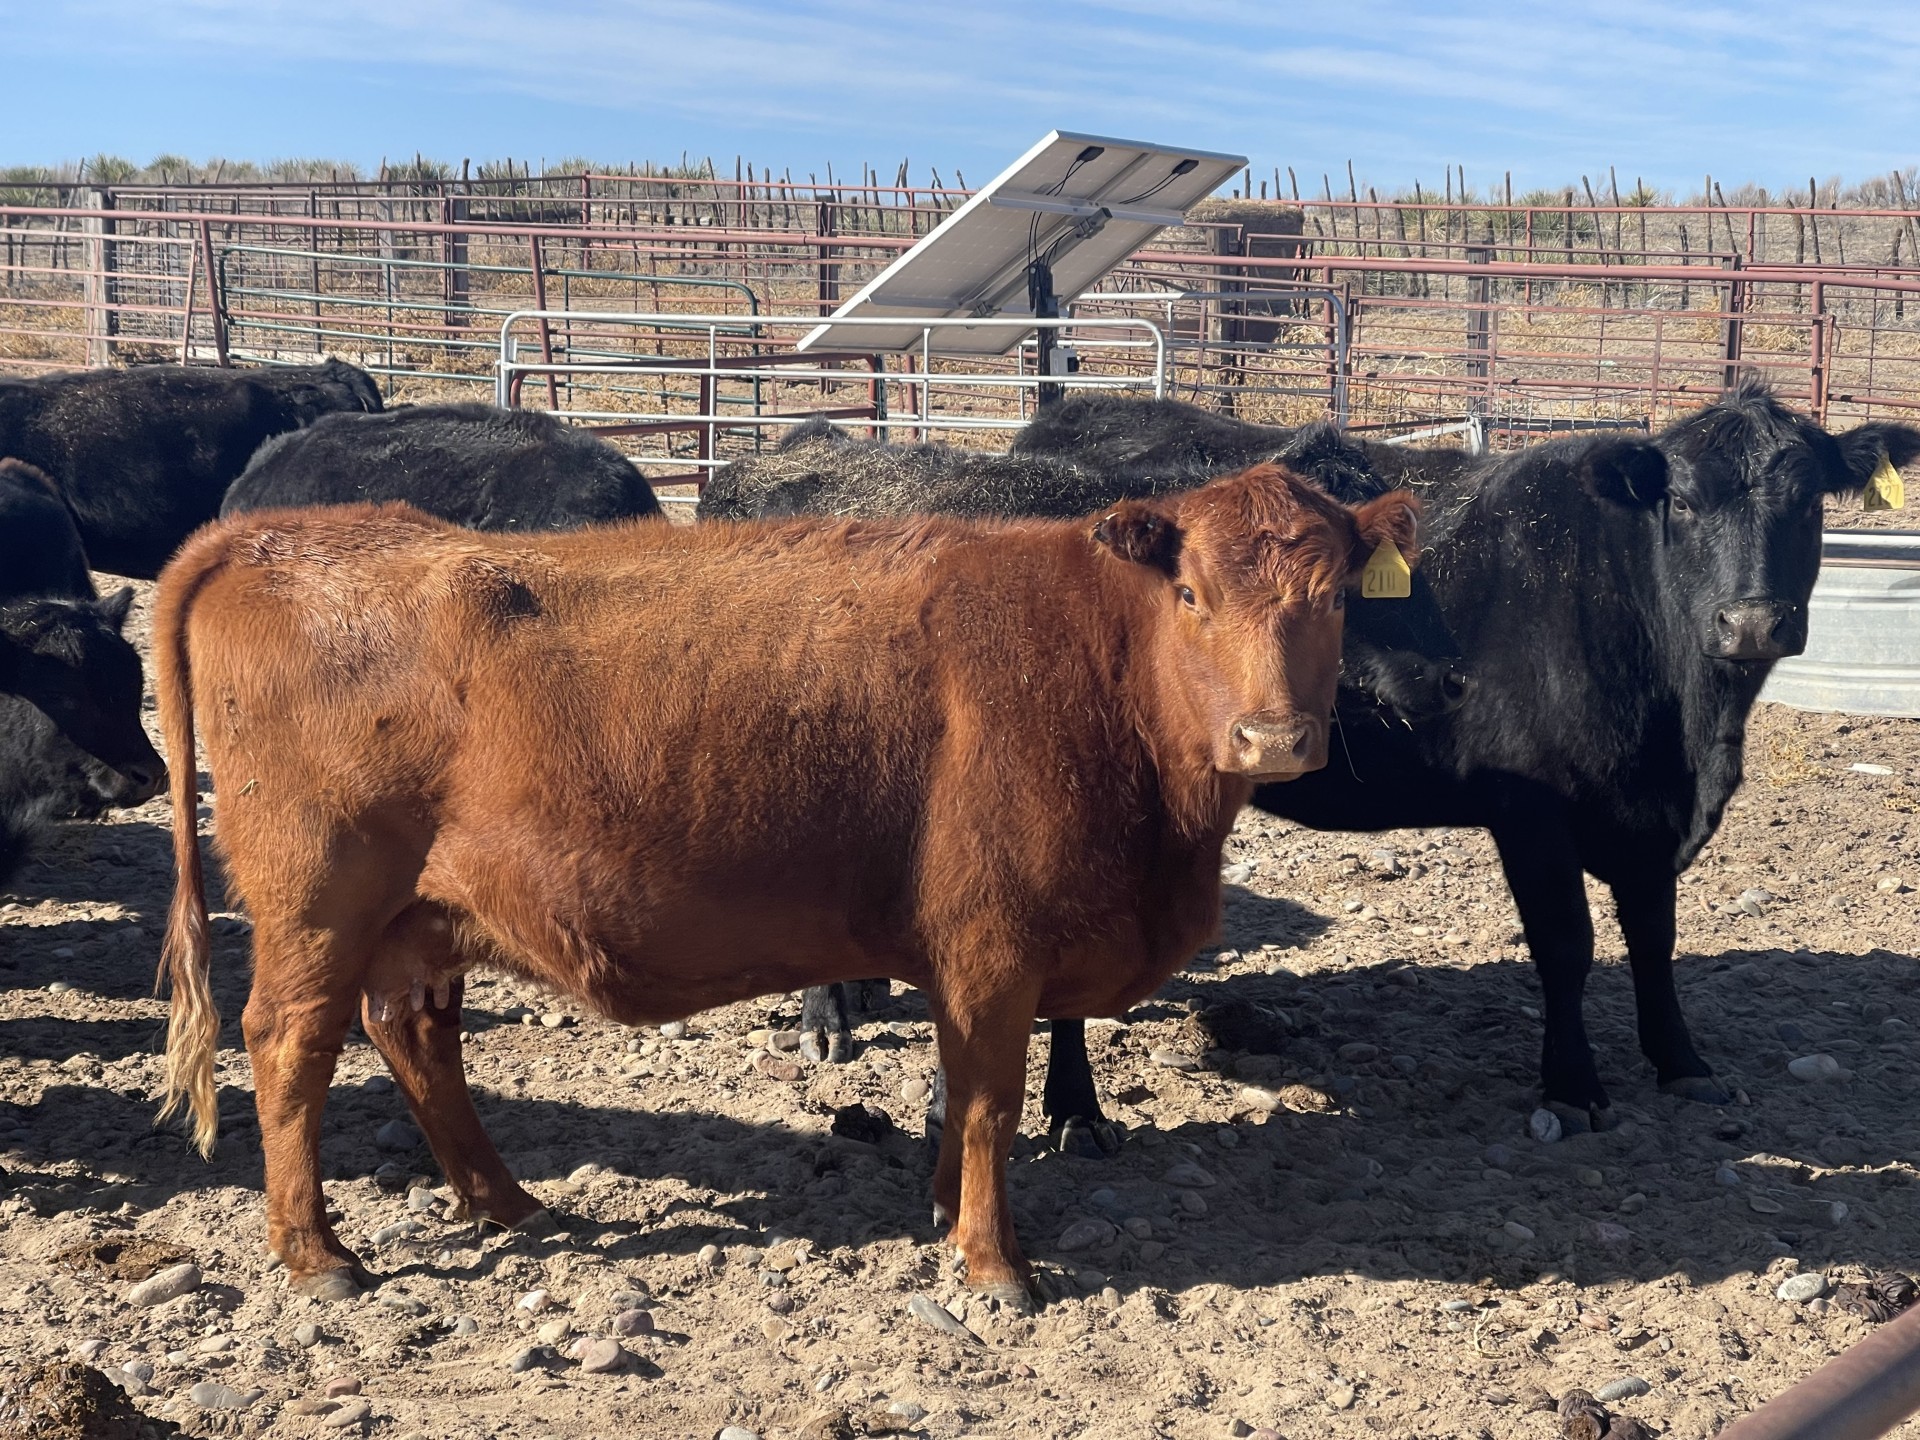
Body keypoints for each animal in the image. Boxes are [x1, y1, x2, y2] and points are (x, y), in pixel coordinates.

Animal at [153, 462, 1413, 1305]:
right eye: (1193, 594)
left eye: (1337, 598)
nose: (1274, 737)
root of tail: (272, 535)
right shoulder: (993, 952)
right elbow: (991, 1105)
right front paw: (992, 1264)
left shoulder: (966, 966)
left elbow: (958, 1100)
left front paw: (945, 1213)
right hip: (318, 903)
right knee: (290, 1046)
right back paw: (318, 1254)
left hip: (415, 918)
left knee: (413, 1035)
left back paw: (505, 1202)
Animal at [1036, 380, 1920, 1152]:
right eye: (1685, 502)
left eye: (1807, 502)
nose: (1752, 621)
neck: (1687, 730)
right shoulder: (1531, 813)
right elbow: (1567, 944)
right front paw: (1573, 1087)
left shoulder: (1647, 818)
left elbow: (1654, 937)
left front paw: (1682, 1062)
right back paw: (1078, 1110)